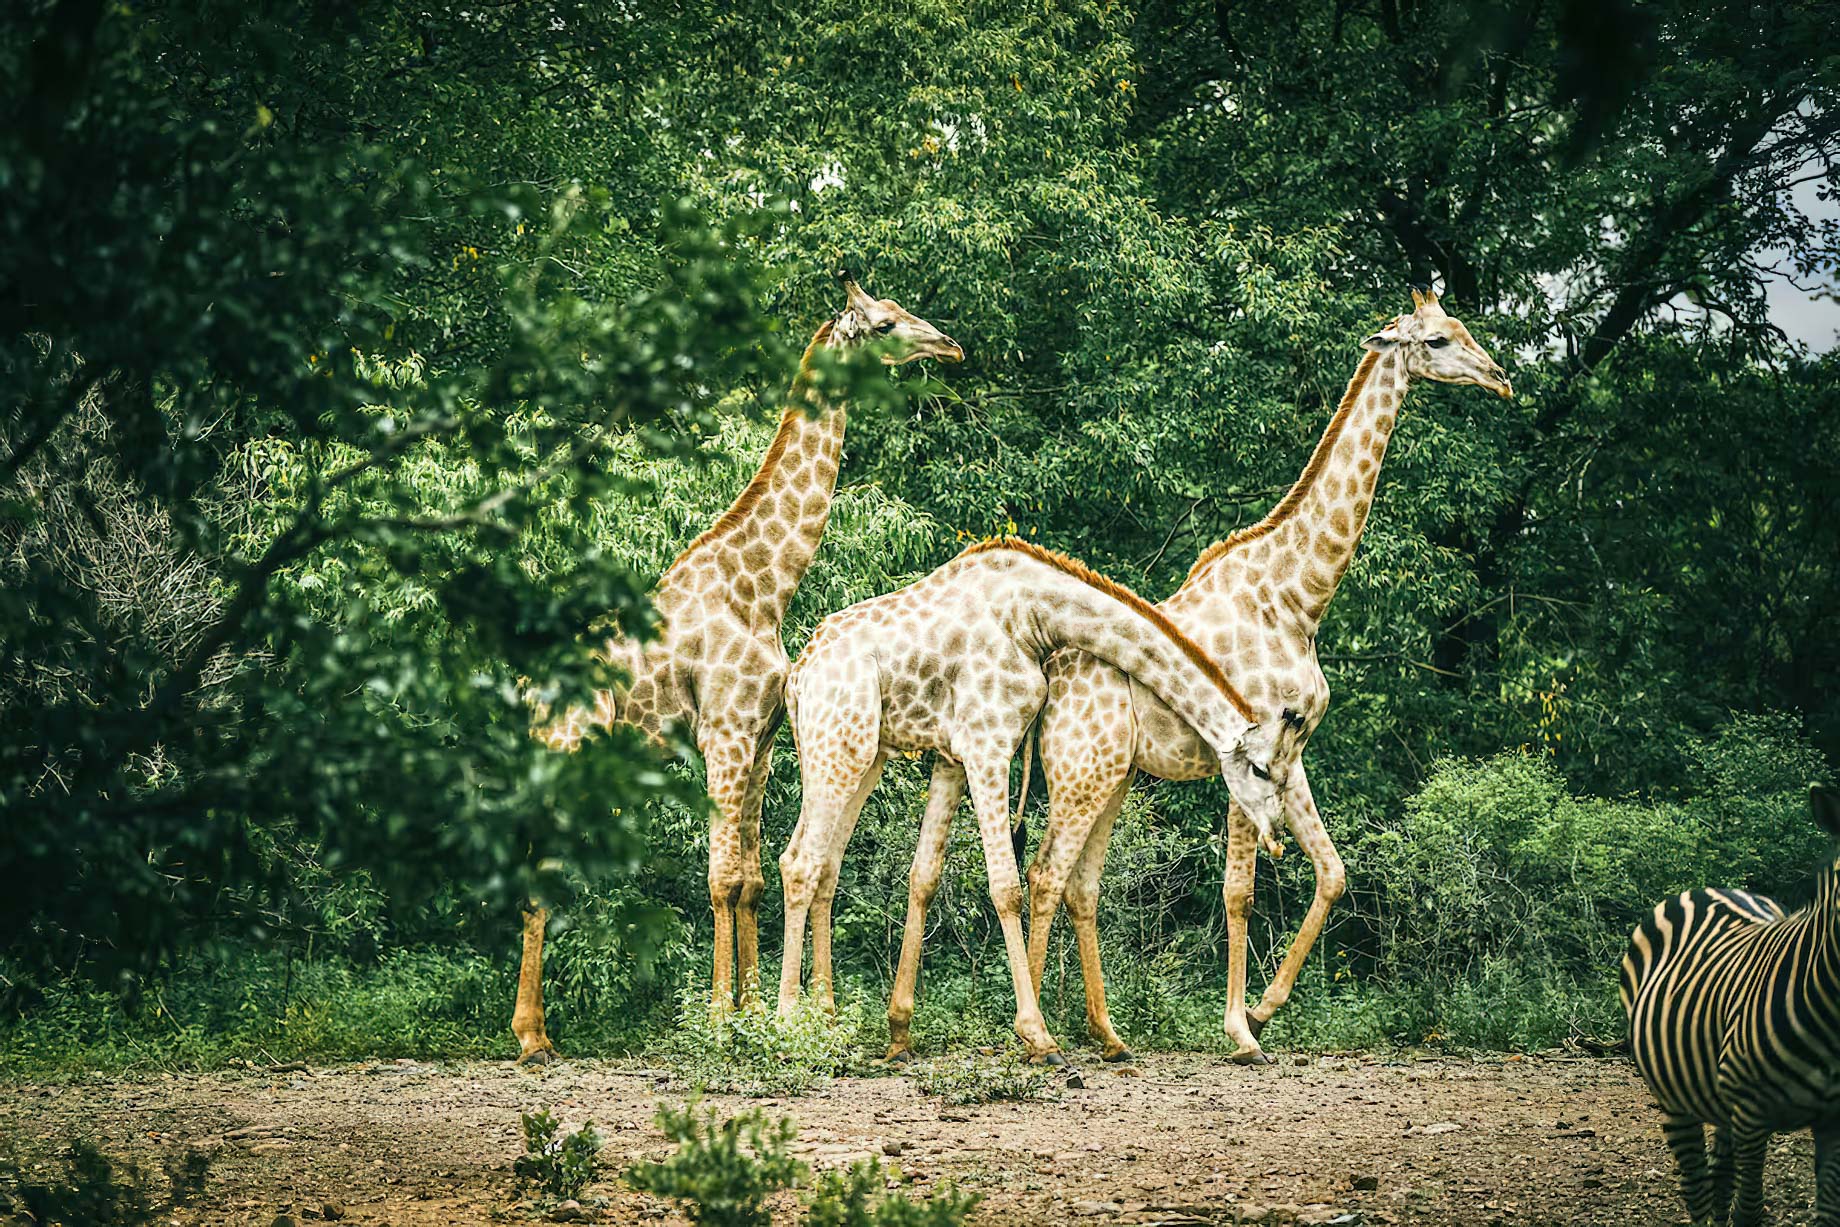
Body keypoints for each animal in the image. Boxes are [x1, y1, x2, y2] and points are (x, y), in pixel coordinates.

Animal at [511, 271, 962, 1065]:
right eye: (883, 323)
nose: (949, 345)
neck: (763, 584)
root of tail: (528, 688)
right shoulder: (720, 730)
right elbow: (721, 877)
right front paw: (720, 1019)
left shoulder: (760, 736)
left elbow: (749, 876)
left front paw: (752, 1008)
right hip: (564, 751)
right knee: (539, 866)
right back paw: (532, 1036)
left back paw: (537, 1029)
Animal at [774, 537, 1288, 1062]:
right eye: (1263, 769)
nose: (1276, 838)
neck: (1034, 615)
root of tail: (798, 676)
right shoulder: (987, 743)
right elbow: (1006, 886)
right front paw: (1038, 1036)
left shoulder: (952, 756)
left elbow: (924, 876)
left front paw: (899, 1032)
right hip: (840, 747)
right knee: (800, 862)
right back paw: (788, 1023)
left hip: (861, 753)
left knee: (825, 866)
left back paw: (827, 1021)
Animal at [883, 287, 1512, 1065]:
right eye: (1437, 340)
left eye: (1461, 328)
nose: (1501, 378)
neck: (1298, 595)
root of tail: (1049, 671)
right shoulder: (1247, 761)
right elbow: (1240, 892)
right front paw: (1242, 1033)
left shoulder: (1293, 756)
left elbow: (1333, 873)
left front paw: (1267, 1010)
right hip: (1081, 770)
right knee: (1046, 874)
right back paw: (1037, 1035)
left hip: (1116, 775)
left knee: (1079, 884)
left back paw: (1107, 1035)